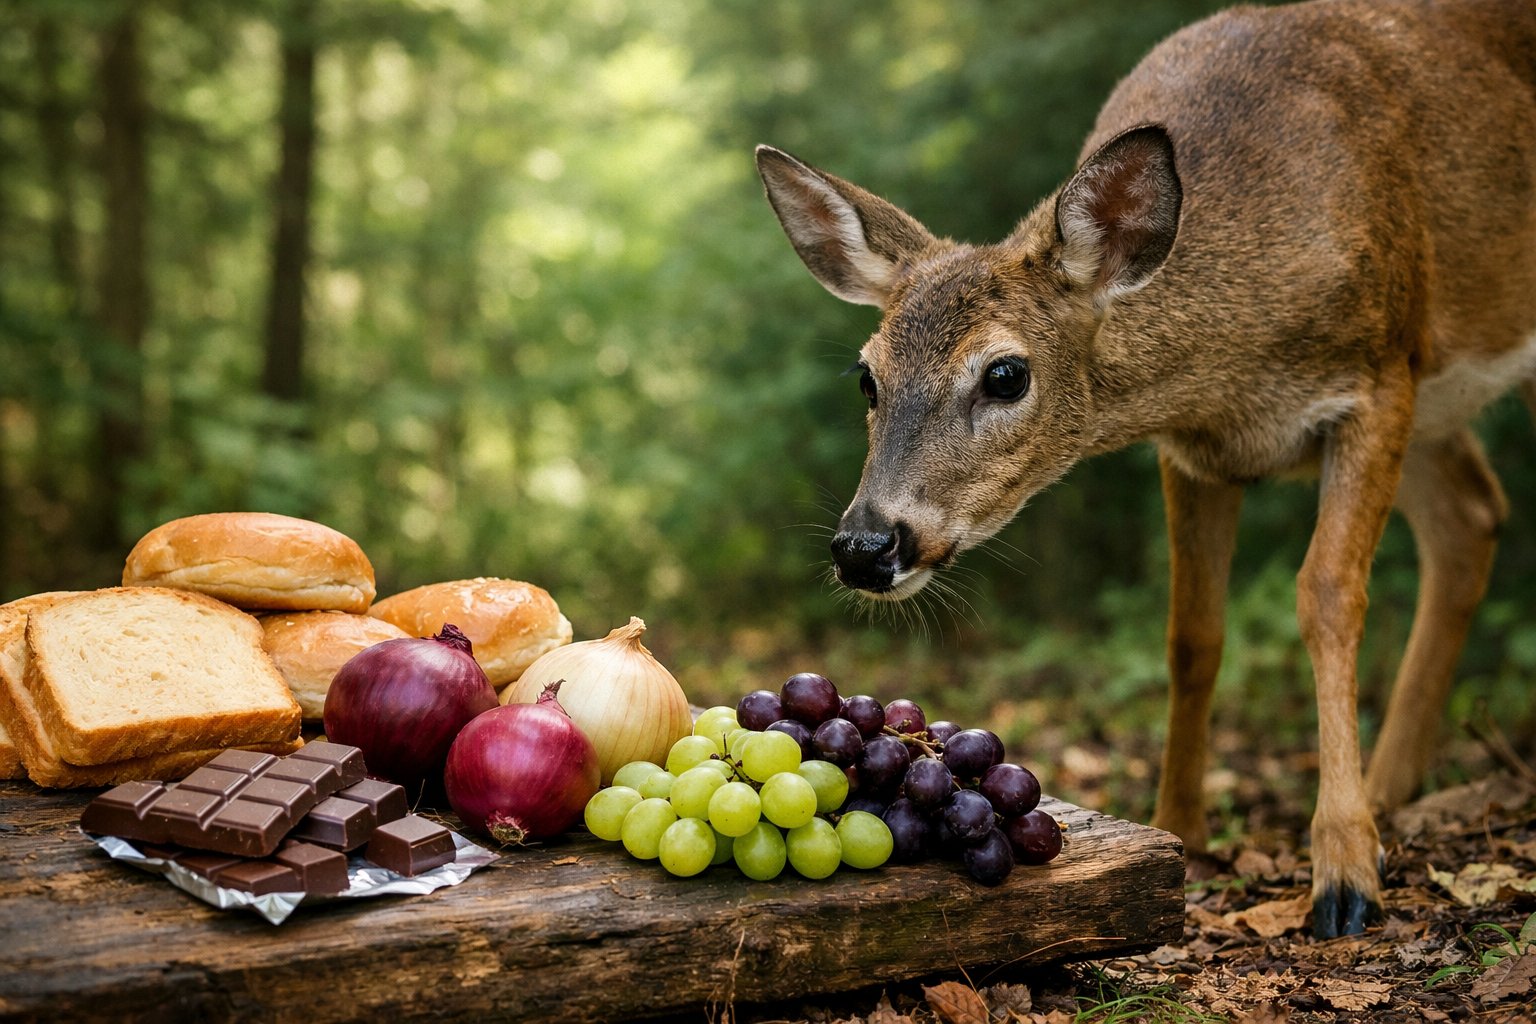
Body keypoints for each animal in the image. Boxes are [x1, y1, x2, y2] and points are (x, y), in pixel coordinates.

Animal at [755, 0, 1536, 938]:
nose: (866, 547)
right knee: (1472, 516)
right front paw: (1178, 832)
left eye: (1006, 374)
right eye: (867, 375)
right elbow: (1191, 634)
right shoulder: (1195, 448)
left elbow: (1328, 596)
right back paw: (1394, 789)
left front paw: (1345, 873)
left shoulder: (1381, 377)